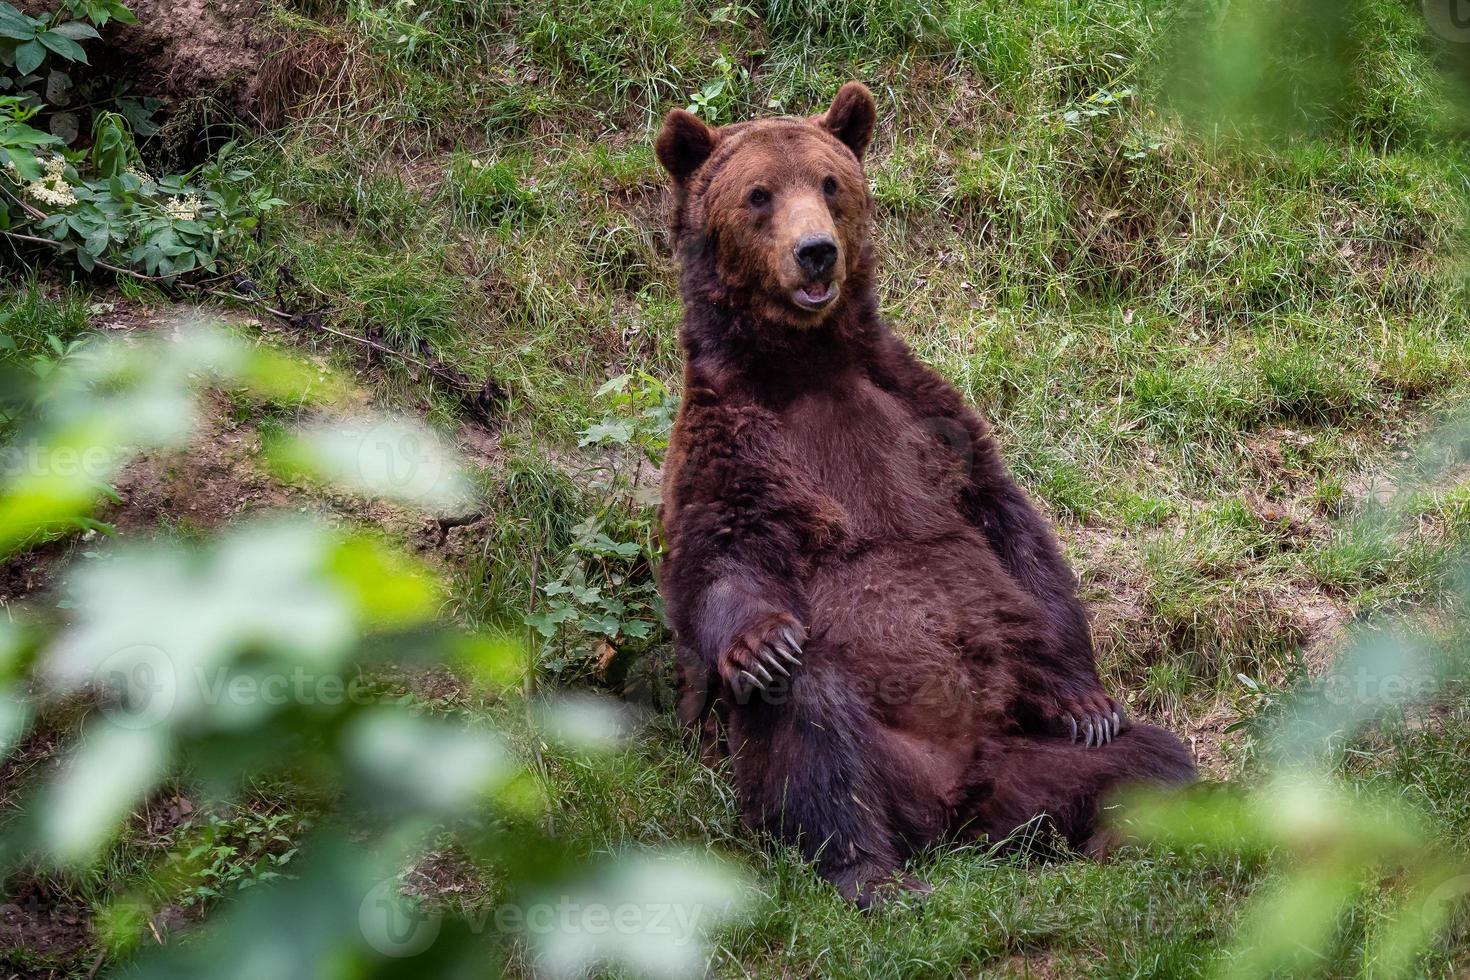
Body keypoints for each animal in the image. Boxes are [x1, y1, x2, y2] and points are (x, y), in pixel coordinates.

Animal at [655, 82, 1193, 905]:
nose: (817, 251)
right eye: (758, 194)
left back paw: (1124, 834)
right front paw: (762, 644)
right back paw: (873, 874)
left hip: (1023, 756)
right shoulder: (728, 439)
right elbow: (716, 556)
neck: (804, 364)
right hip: (878, 750)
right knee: (814, 733)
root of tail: (954, 813)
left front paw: (1087, 700)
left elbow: (1011, 533)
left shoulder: (924, 414)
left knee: (1153, 757)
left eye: (830, 184)